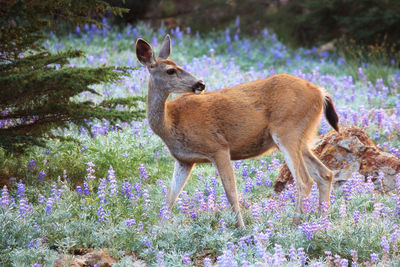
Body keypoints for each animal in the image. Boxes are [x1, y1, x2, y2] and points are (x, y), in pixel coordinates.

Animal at [136, 35, 340, 228]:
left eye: (176, 66)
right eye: (170, 70)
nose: (200, 83)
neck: (169, 124)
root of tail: (320, 92)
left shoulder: (218, 147)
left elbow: (231, 193)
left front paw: (241, 229)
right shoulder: (184, 160)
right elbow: (170, 198)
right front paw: (158, 232)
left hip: (287, 131)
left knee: (304, 180)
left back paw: (295, 225)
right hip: (301, 138)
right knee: (325, 174)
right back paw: (321, 221)